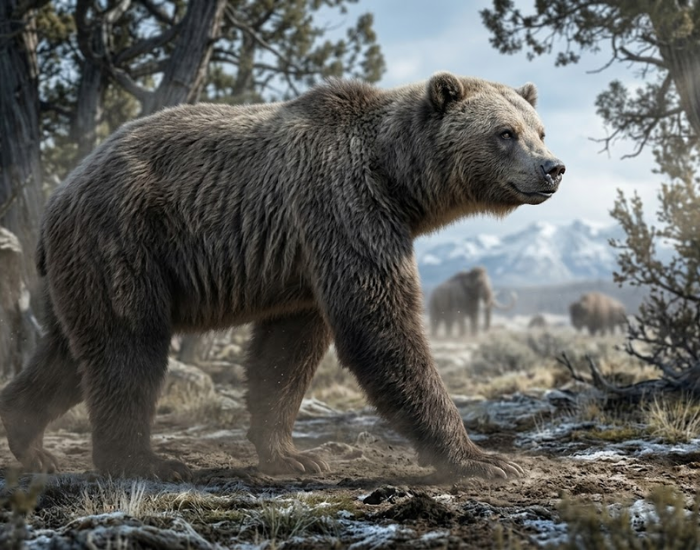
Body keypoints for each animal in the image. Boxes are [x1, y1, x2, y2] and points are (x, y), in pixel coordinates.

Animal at [0, 71, 565, 481]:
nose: (553, 168)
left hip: (79, 271)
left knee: (69, 355)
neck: (398, 182)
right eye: (505, 133)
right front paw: (484, 459)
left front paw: (292, 455)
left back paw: (29, 439)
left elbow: (285, 356)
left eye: (539, 130)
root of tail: (58, 196)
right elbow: (380, 326)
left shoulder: (305, 263)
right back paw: (146, 461)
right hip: (124, 241)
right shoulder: (344, 210)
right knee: (128, 348)